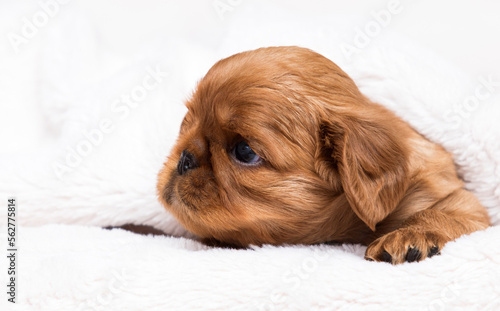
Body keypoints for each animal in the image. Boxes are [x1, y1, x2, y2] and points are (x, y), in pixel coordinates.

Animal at [157, 46, 492, 264]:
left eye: (245, 151)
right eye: (186, 123)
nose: (184, 159)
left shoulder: (459, 199)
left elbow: (442, 212)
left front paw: (413, 235)